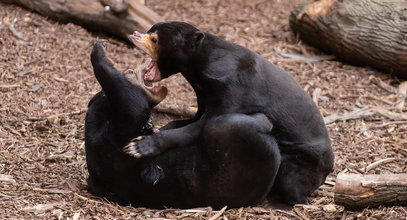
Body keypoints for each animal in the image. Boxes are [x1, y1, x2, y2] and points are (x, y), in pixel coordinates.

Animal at [86, 40, 282, 209]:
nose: (145, 59)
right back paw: (263, 119)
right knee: (223, 125)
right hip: (236, 156)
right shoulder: (113, 139)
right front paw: (99, 50)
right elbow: (133, 106)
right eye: (129, 72)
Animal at [124, 21, 334, 207]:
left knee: (292, 183)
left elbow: (199, 127)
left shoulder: (233, 90)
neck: (200, 69)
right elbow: (189, 120)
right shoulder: (205, 94)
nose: (133, 33)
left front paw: (139, 146)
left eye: (154, 39)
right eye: (150, 32)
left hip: (303, 162)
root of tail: (329, 169)